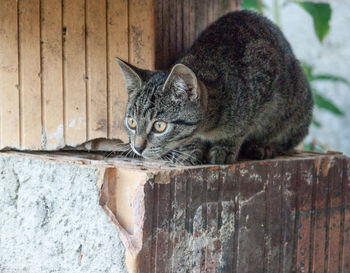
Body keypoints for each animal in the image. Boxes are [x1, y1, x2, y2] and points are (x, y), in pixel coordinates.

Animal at [116, 10, 314, 164]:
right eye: (131, 122)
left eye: (159, 126)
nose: (137, 147)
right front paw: (191, 150)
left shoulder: (264, 73)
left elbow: (241, 128)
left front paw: (225, 148)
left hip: (297, 110)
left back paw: (264, 146)